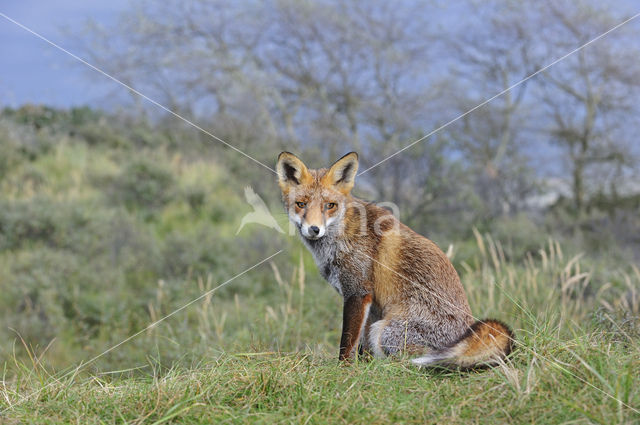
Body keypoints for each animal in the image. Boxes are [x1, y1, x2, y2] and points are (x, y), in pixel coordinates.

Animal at [276, 151, 516, 366]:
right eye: (301, 204)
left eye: (330, 206)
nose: (314, 229)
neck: (342, 234)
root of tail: (464, 335)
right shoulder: (370, 303)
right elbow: (361, 346)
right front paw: (363, 367)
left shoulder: (357, 291)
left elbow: (347, 342)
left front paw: (343, 369)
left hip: (385, 331)